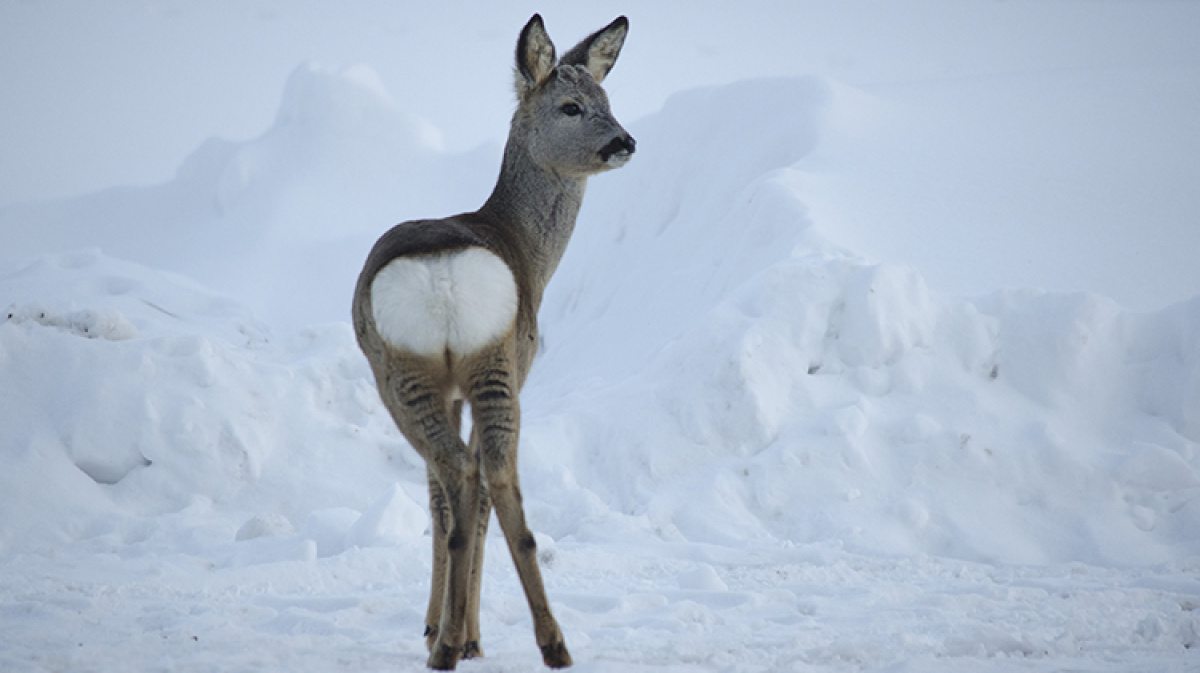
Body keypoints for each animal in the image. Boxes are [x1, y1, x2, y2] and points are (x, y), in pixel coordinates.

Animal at [350, 13, 633, 667]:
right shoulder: (506, 366)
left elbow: (440, 499)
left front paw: (441, 625)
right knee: (491, 478)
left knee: (463, 477)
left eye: (609, 101)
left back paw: (461, 643)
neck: (525, 249)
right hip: (492, 361)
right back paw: (537, 642)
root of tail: (446, 280)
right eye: (572, 106)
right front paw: (451, 626)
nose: (624, 142)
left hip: (410, 372)